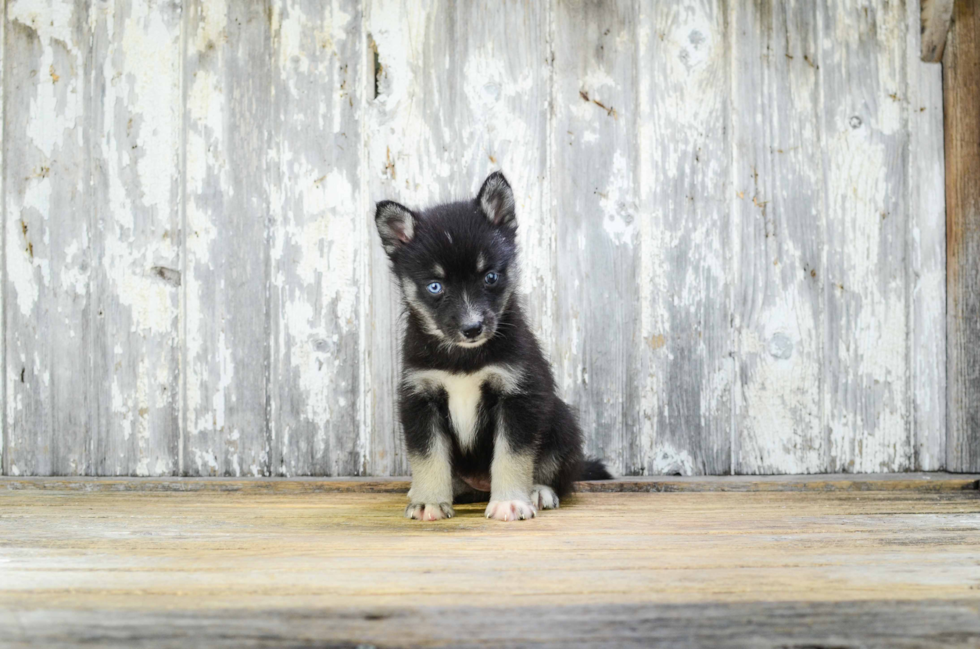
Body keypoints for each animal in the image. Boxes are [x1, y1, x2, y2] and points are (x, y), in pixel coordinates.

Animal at [378, 172, 612, 520]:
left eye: (490, 277)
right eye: (434, 286)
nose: (472, 328)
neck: (464, 359)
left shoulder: (518, 395)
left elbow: (512, 455)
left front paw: (510, 501)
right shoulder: (420, 398)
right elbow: (429, 457)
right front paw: (429, 501)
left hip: (561, 420)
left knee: (556, 473)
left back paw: (538, 491)